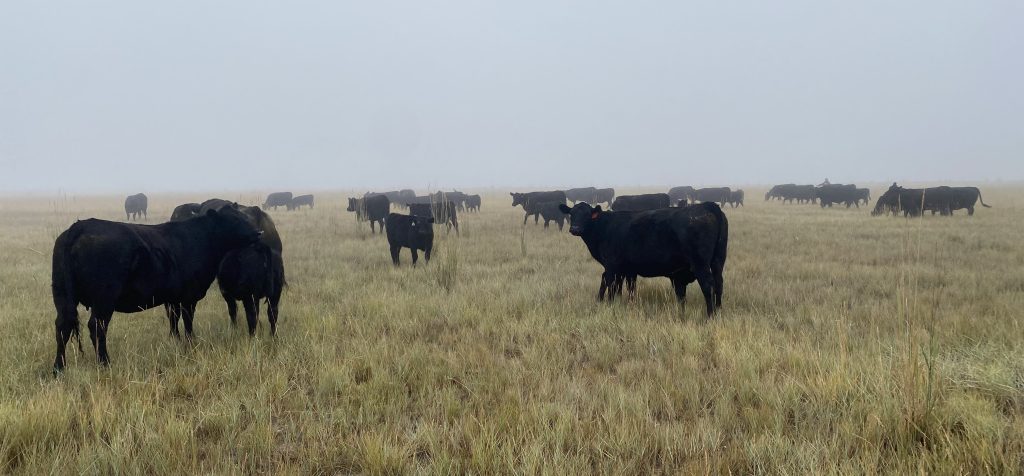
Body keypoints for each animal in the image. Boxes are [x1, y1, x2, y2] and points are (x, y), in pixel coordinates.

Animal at [50, 207, 263, 371]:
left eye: (244, 216)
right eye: (234, 219)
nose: (259, 232)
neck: (201, 239)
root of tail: (80, 226)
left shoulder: (173, 297)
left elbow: (174, 319)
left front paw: (175, 341)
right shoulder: (189, 295)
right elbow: (188, 321)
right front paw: (191, 344)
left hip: (62, 294)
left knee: (63, 325)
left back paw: (59, 368)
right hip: (104, 297)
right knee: (96, 326)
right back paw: (104, 363)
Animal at [558, 202, 728, 317]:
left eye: (587, 215)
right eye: (572, 214)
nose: (575, 229)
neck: (604, 227)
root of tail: (707, 205)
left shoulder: (611, 265)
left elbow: (609, 284)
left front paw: (607, 305)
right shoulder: (628, 269)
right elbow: (627, 288)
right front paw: (625, 305)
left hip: (700, 263)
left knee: (708, 285)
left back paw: (710, 315)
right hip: (718, 260)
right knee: (719, 283)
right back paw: (719, 310)